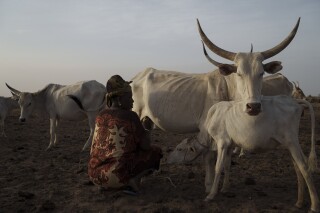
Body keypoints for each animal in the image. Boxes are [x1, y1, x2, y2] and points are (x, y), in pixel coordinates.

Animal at [169, 95, 318, 212]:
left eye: (179, 149)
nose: (168, 159)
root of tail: (293, 100)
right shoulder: (229, 145)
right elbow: (227, 166)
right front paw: (225, 188)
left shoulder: (222, 142)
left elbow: (218, 167)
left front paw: (211, 195)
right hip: (288, 145)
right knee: (298, 168)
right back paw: (299, 202)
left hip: (292, 141)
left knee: (304, 167)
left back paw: (314, 206)